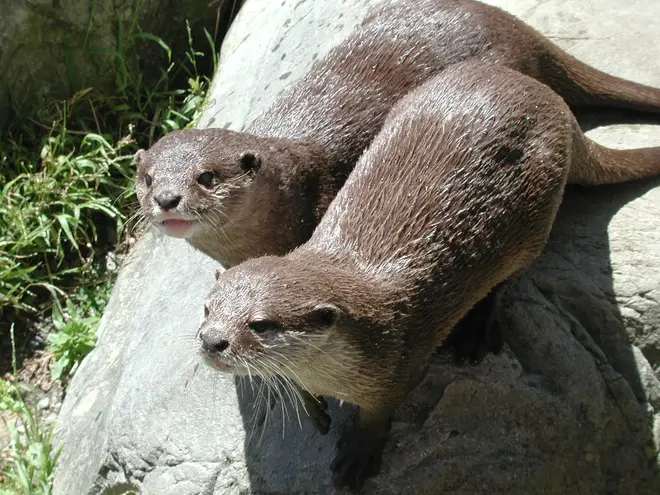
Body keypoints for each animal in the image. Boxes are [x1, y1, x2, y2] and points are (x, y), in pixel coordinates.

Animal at [196, 62, 660, 491]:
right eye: (207, 308)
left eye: (260, 324)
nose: (211, 340)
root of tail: (554, 102)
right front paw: (311, 408)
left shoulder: (400, 362)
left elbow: (380, 412)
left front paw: (359, 453)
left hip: (534, 221)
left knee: (507, 277)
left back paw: (477, 330)